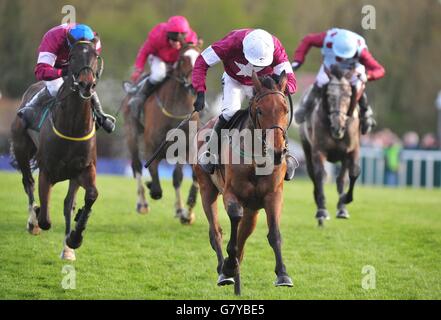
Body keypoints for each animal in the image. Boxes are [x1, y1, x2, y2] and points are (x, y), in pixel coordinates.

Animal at [11, 39, 102, 260]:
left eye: (95, 56)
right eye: (72, 56)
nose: (87, 84)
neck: (73, 127)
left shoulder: (83, 170)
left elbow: (87, 197)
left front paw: (74, 240)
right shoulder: (47, 172)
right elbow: (45, 218)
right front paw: (36, 218)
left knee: (68, 203)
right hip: (21, 149)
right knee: (28, 183)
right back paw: (32, 221)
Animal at [122, 45, 201, 224]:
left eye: (199, 56)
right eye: (182, 59)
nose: (194, 85)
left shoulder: (187, 147)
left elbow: (184, 176)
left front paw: (186, 213)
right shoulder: (151, 147)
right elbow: (156, 187)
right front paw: (151, 185)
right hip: (131, 133)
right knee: (136, 165)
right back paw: (142, 204)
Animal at [193, 70, 290, 296]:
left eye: (286, 110)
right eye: (260, 111)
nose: (277, 152)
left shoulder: (273, 195)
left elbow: (274, 233)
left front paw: (282, 274)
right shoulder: (231, 193)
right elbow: (234, 219)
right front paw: (228, 265)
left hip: (252, 210)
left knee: (243, 236)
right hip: (207, 190)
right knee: (216, 232)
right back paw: (225, 271)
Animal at [300, 65, 360, 226]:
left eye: (348, 95)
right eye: (329, 95)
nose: (338, 127)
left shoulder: (352, 150)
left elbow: (353, 174)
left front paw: (345, 200)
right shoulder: (318, 151)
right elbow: (320, 175)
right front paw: (322, 210)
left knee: (341, 179)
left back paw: (342, 208)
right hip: (306, 148)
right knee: (312, 174)